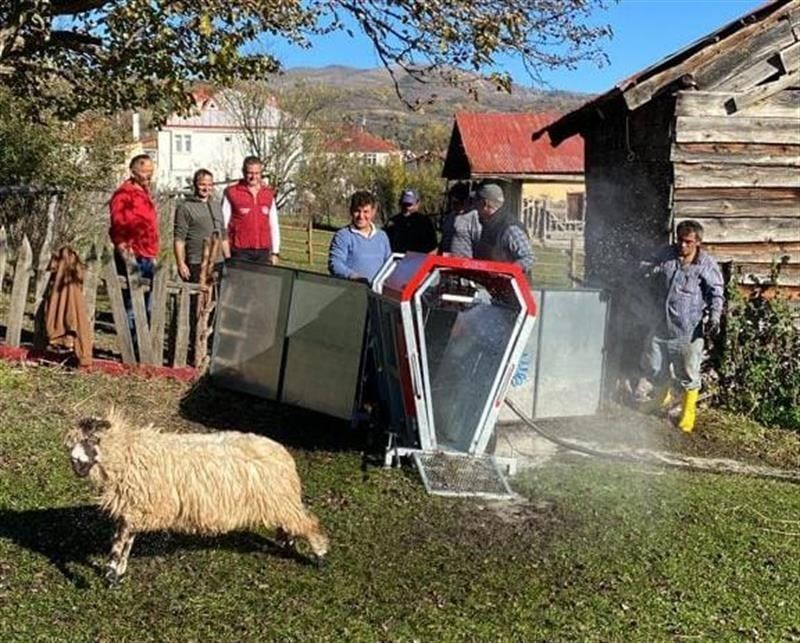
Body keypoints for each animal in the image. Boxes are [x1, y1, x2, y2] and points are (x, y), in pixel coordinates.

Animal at [68, 410, 328, 588]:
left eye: (92, 440)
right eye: (74, 443)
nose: (75, 463)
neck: (128, 454)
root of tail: (283, 453)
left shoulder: (138, 507)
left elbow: (120, 541)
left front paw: (111, 571)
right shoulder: (135, 508)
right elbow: (125, 539)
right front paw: (117, 573)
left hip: (280, 499)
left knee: (307, 523)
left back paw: (320, 555)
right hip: (279, 502)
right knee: (292, 523)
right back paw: (289, 543)